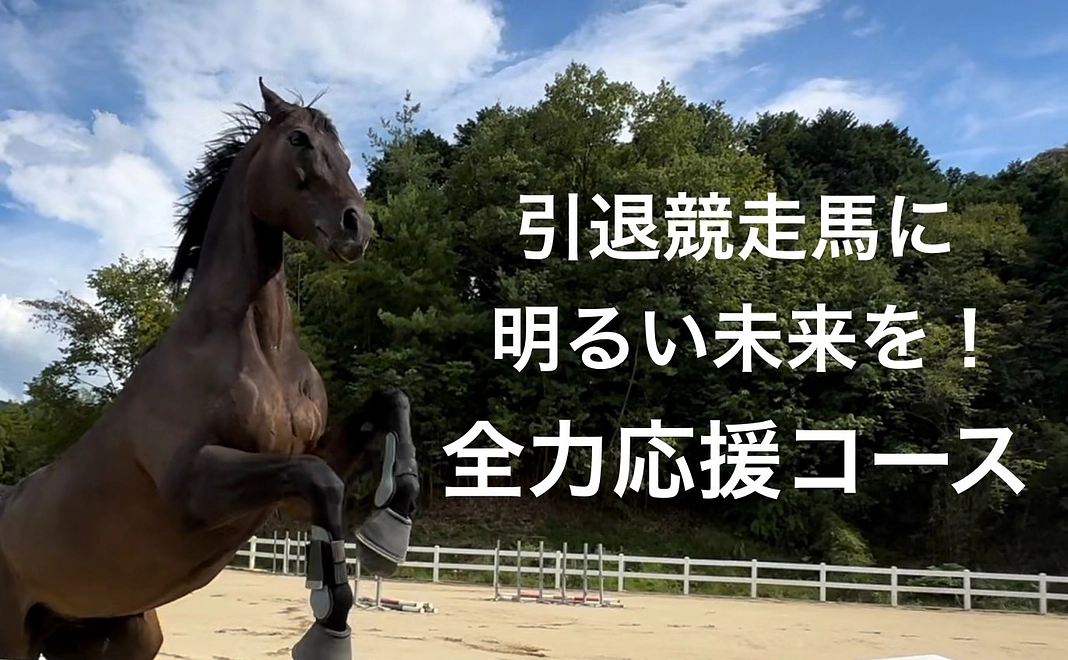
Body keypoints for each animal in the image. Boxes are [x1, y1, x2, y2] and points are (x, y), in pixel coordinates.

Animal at [0, 79, 419, 660]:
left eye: (346, 154)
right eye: (298, 141)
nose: (358, 227)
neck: (260, 349)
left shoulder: (296, 471)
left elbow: (389, 404)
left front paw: (389, 530)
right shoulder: (195, 488)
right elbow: (323, 482)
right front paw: (328, 628)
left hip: (114, 636)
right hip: (12, 637)